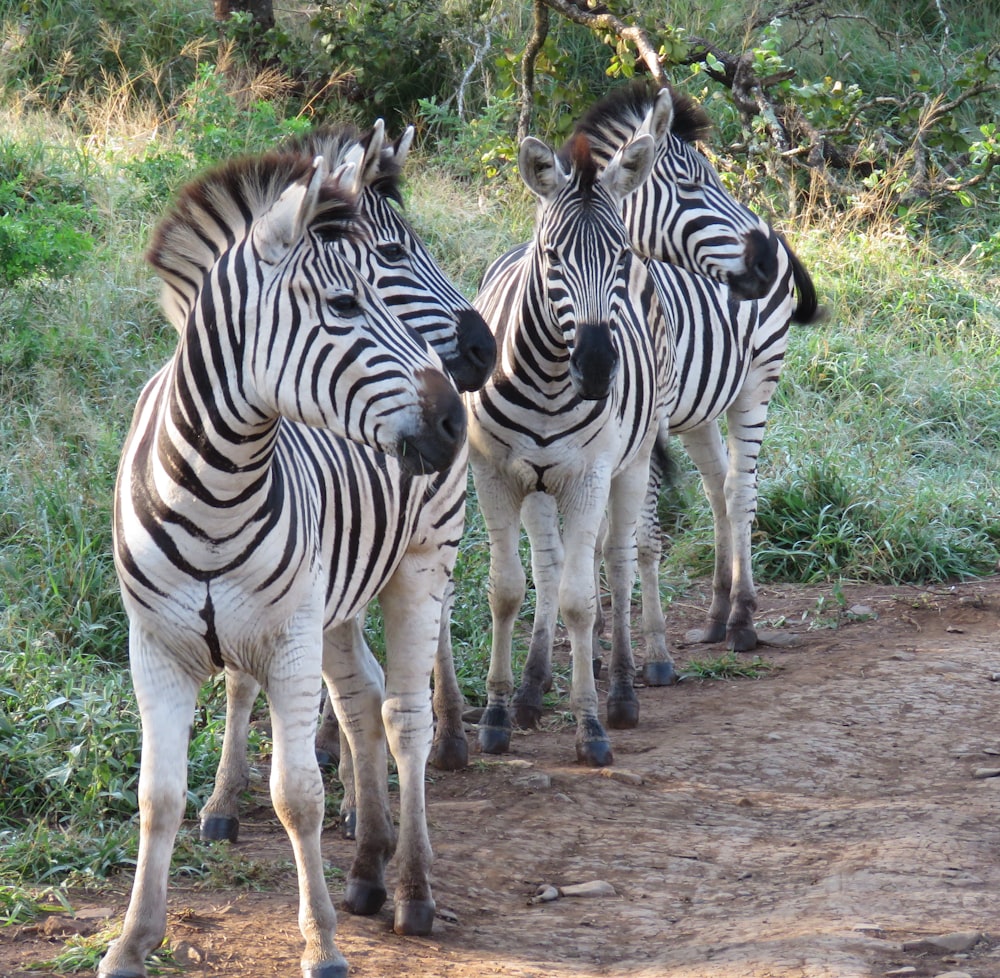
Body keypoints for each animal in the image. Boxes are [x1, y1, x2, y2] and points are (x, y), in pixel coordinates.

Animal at [100, 145, 472, 976]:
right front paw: (132, 941)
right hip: (336, 600)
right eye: (341, 304)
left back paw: (413, 888)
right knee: (363, 700)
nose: (452, 422)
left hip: (421, 562)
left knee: (404, 716)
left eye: (382, 281)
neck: (213, 491)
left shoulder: (288, 638)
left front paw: (321, 944)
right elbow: (156, 797)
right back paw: (367, 869)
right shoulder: (157, 648)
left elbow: (297, 793)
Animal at [196, 120, 496, 848]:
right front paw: (224, 797)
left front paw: (359, 792)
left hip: (430, 526)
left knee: (437, 616)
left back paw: (443, 736)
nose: (484, 351)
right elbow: (244, 680)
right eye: (392, 251)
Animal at [466, 132, 676, 772]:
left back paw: (626, 690)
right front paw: (498, 715)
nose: (598, 367)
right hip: (538, 484)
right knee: (549, 566)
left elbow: (582, 601)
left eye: (618, 257)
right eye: (553, 256)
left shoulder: (587, 478)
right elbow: (508, 589)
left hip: (632, 463)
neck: (548, 380)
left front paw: (589, 726)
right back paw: (533, 690)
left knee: (620, 561)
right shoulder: (496, 474)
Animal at [572, 82, 820, 664]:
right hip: (700, 408)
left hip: (757, 382)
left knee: (740, 490)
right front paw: (594, 643)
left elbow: (638, 535)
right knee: (717, 487)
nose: (762, 259)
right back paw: (715, 613)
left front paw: (645, 652)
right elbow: (594, 530)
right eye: (691, 184)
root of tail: (769, 223)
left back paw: (743, 620)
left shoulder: (644, 429)